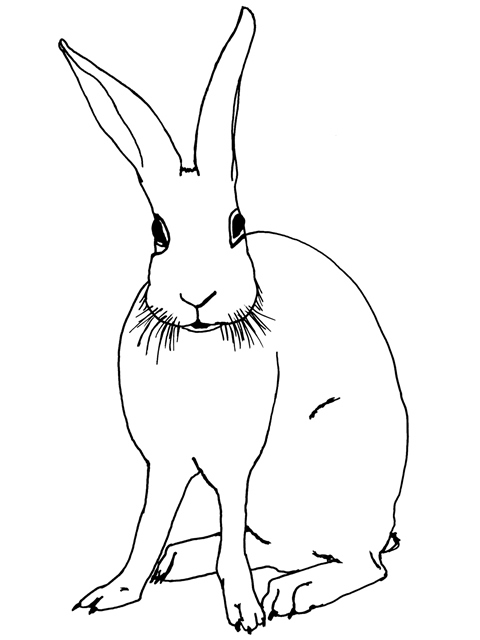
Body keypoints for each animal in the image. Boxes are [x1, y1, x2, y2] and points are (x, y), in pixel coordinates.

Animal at [60, 6, 408, 633]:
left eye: (237, 225)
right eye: (158, 233)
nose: (199, 296)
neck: (198, 344)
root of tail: (386, 520)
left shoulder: (235, 459)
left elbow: (228, 537)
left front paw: (244, 610)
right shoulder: (164, 459)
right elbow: (149, 525)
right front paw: (115, 592)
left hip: (327, 471)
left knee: (362, 563)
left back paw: (292, 593)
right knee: (275, 546)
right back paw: (178, 562)